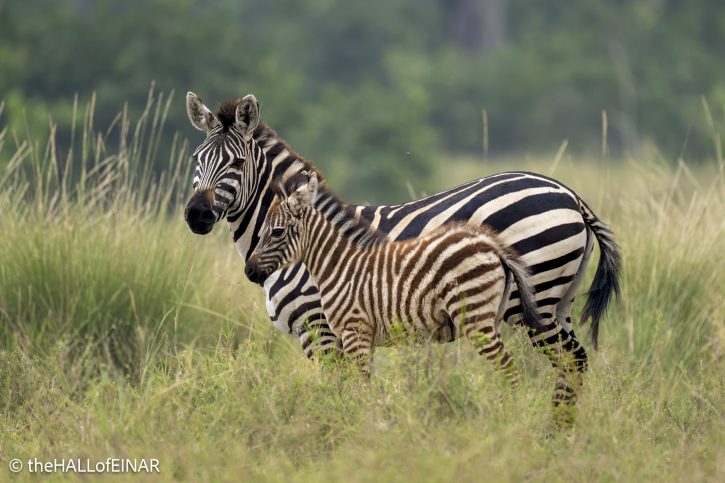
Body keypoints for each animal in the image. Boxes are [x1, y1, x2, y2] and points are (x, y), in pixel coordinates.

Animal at [245, 171, 545, 385]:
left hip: (474, 316)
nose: (249, 271)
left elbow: (360, 387)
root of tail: (491, 245)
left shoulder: (354, 331)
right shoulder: (359, 337)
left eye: (277, 231)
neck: (340, 265)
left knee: (508, 369)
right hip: (489, 316)